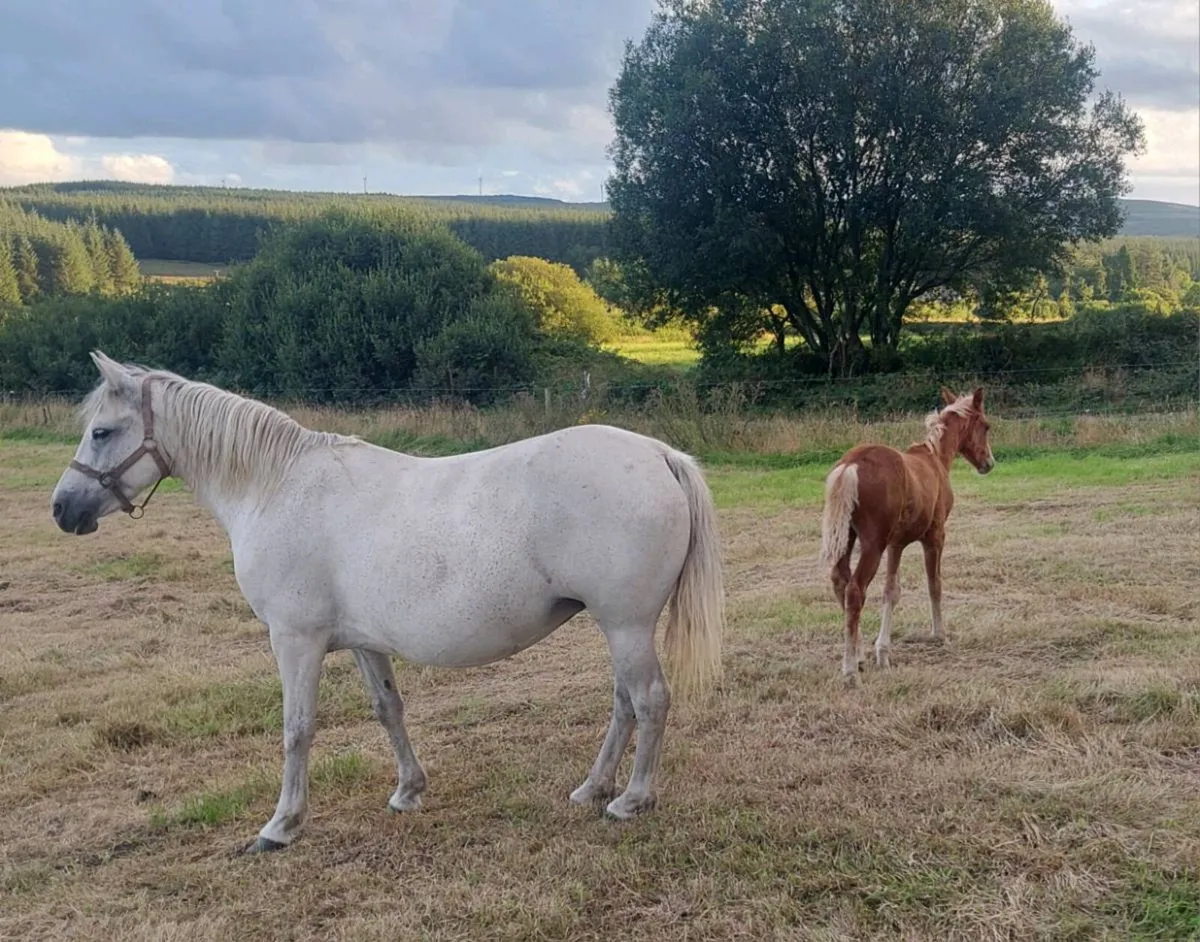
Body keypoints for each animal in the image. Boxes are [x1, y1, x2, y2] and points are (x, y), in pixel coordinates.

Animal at [51, 352, 725, 853]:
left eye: (102, 431)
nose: (62, 509)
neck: (276, 487)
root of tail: (660, 454)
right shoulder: (362, 643)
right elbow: (388, 710)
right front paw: (409, 791)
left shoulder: (295, 640)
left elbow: (297, 728)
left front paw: (281, 825)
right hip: (616, 626)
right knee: (624, 703)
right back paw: (591, 788)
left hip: (627, 624)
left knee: (649, 700)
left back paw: (630, 800)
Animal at [818, 387, 995, 684]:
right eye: (986, 425)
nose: (989, 463)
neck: (936, 459)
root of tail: (850, 464)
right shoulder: (935, 536)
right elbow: (934, 584)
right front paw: (939, 634)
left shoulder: (896, 544)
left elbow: (892, 590)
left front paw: (882, 653)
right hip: (872, 544)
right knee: (855, 590)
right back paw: (850, 670)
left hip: (847, 538)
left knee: (839, 581)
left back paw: (859, 656)